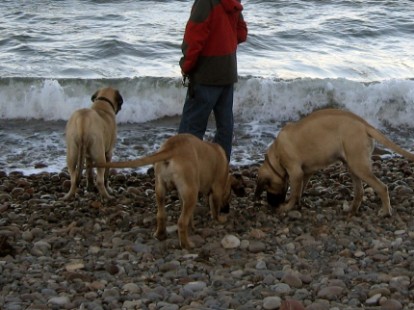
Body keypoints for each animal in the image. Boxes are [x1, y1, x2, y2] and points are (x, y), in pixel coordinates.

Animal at [93, 134, 246, 249]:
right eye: (229, 195)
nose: (227, 210)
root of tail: (171, 147)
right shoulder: (217, 189)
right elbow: (214, 207)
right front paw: (219, 218)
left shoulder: (184, 193)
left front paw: (194, 225)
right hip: (191, 192)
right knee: (181, 222)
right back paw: (186, 244)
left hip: (161, 188)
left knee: (161, 214)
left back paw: (160, 234)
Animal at [254, 109, 414, 218]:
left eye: (268, 188)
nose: (272, 205)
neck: (276, 156)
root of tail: (365, 125)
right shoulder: (305, 172)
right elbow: (299, 189)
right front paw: (295, 201)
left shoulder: (295, 172)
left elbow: (295, 192)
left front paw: (287, 207)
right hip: (351, 165)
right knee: (360, 191)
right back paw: (351, 210)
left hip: (358, 165)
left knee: (382, 187)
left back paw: (386, 211)